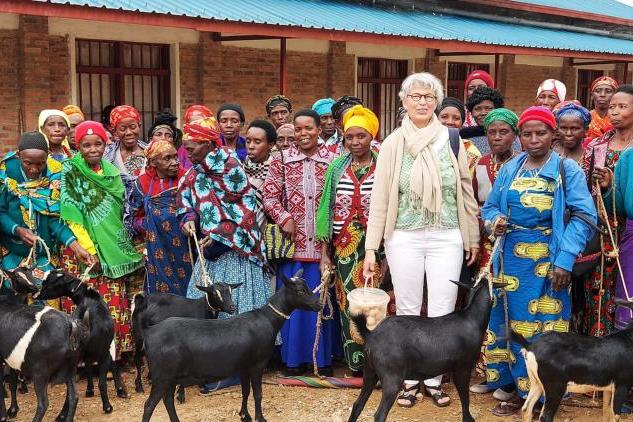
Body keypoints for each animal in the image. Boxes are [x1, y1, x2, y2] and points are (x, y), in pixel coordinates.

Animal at [0, 268, 90, 420]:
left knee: (43, 404)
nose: (36, 287)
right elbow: (12, 384)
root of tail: (71, 324)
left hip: (40, 373)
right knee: (74, 397)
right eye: (18, 276)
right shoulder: (10, 358)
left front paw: (5, 414)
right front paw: (12, 410)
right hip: (71, 368)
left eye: (30, 273)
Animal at [36, 268, 128, 414]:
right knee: (100, 381)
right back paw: (107, 407)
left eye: (48, 283)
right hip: (97, 353)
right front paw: (117, 389)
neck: (87, 295)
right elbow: (102, 366)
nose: (36, 294)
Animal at [141, 270, 318, 422]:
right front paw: (260, 418)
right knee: (149, 405)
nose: (320, 304)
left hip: (170, 376)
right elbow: (258, 394)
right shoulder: (257, 364)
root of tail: (149, 332)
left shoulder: (244, 366)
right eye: (300, 291)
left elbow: (245, 391)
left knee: (167, 400)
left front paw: (244, 415)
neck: (268, 319)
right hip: (162, 375)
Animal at [346, 276, 504, 422]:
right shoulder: (462, 368)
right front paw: (468, 419)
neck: (471, 318)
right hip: (392, 378)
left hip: (369, 373)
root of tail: (372, 334)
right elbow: (465, 398)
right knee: (379, 415)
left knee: (357, 405)